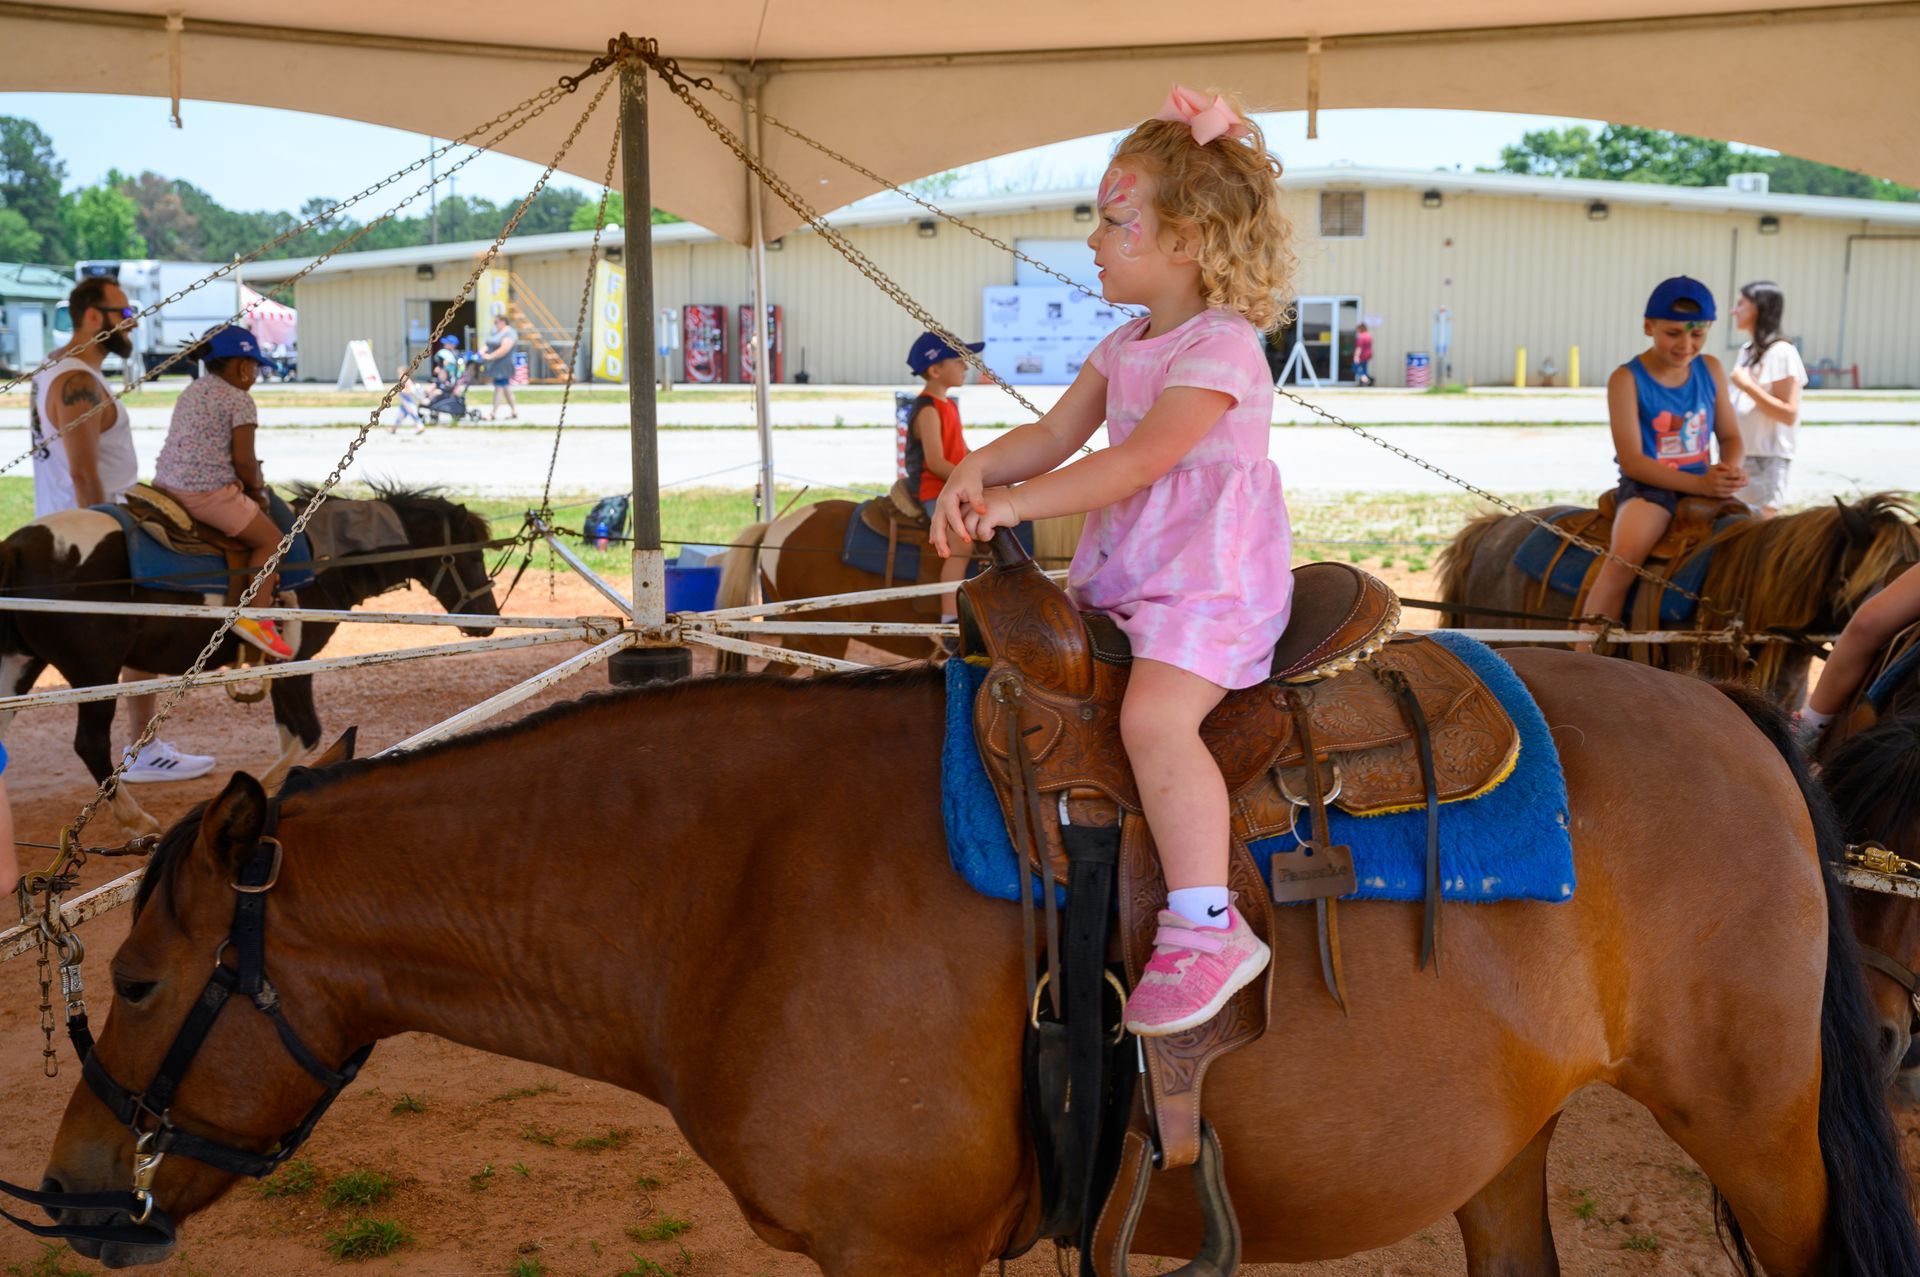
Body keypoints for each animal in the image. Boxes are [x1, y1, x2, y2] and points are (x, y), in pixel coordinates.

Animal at [0, 483, 499, 835]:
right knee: (90, 744)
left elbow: (292, 733)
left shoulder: (282, 669)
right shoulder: (297, 665)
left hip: (20, 665)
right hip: (94, 671)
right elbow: (307, 734)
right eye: (470, 555)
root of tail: (17, 548)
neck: (324, 555)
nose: (489, 618)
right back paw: (136, 820)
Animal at [28, 649, 1920, 1276]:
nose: (69, 1192)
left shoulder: (901, 1250)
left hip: (1764, 1137)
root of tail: (1746, 714)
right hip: (1506, 1148)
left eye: (136, 984)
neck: (727, 892)